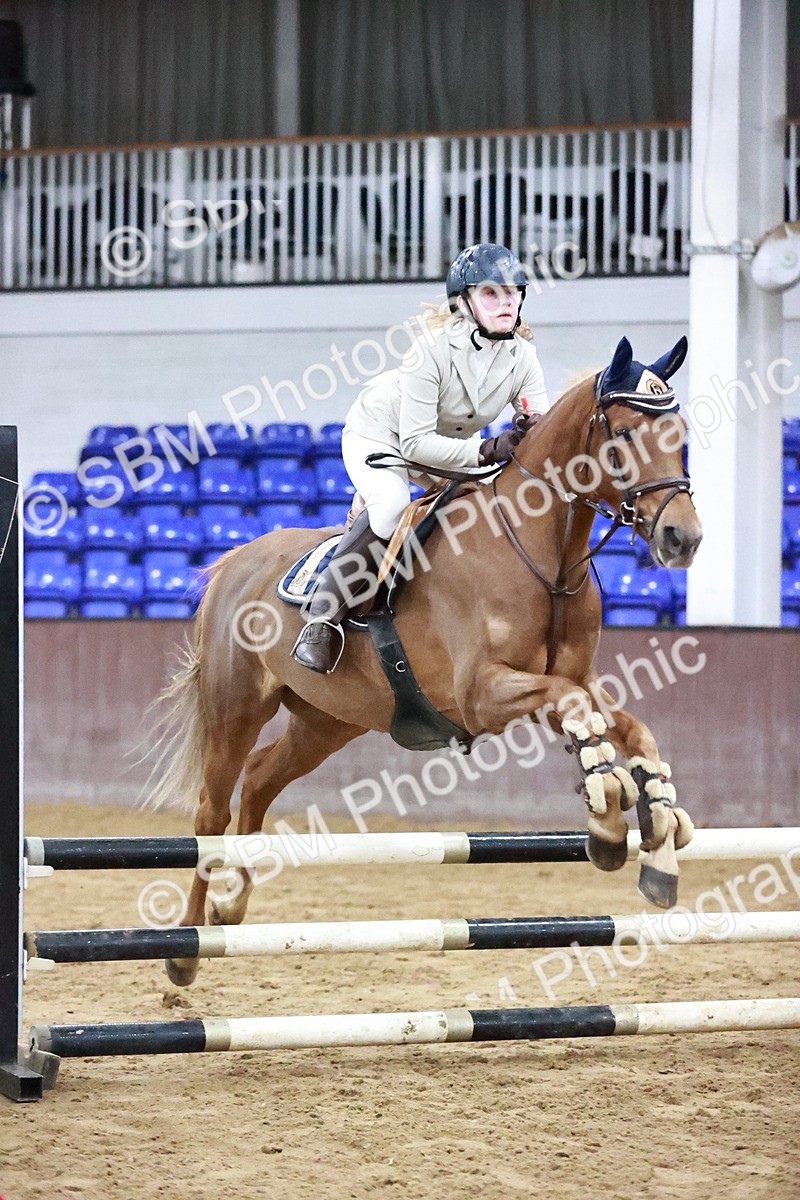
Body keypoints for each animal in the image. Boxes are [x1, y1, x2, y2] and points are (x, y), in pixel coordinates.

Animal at [147, 334, 702, 987]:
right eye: (624, 434)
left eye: (680, 432)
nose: (684, 539)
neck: (537, 550)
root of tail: (232, 561)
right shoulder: (483, 693)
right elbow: (575, 710)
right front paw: (610, 821)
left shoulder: (563, 682)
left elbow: (627, 728)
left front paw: (655, 841)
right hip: (236, 708)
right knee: (211, 813)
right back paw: (185, 949)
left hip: (328, 720)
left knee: (259, 780)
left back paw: (232, 904)